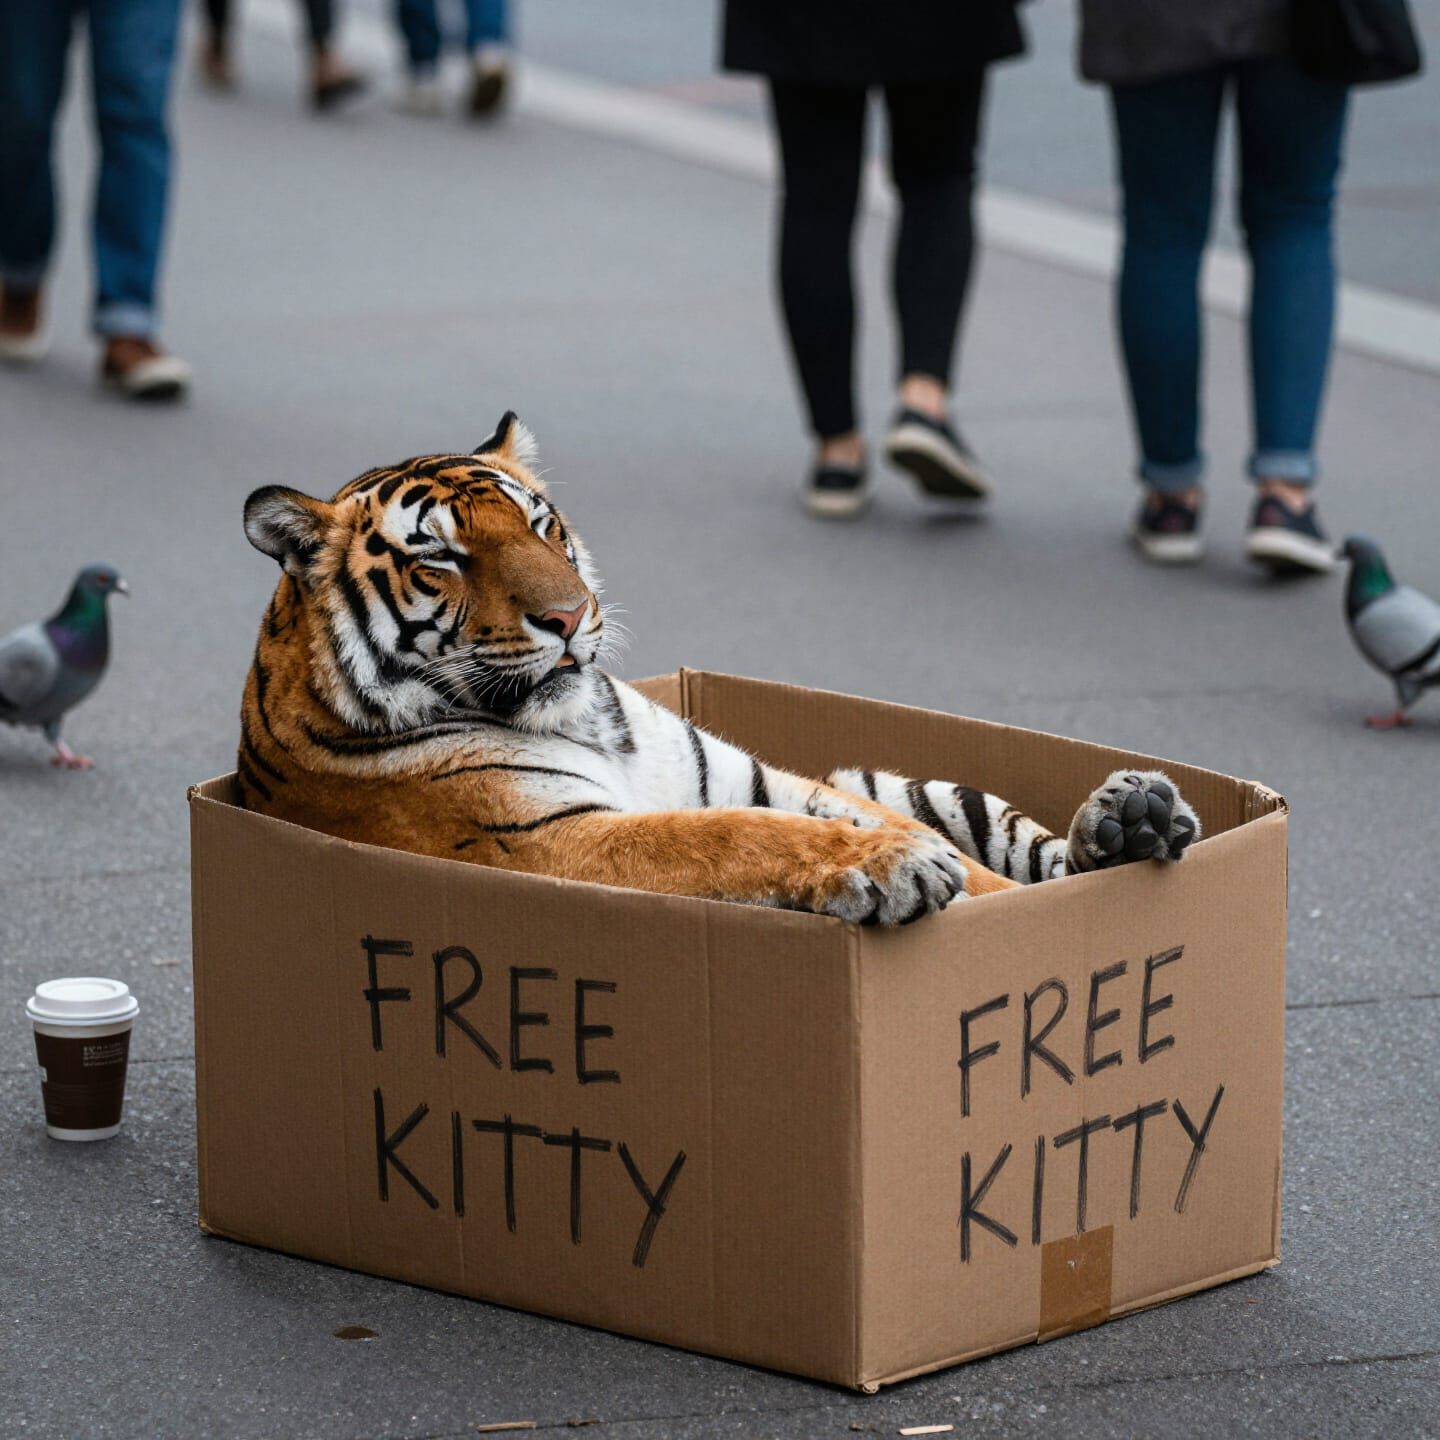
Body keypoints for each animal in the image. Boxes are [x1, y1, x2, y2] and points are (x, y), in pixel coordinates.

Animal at [237, 412, 1199, 925]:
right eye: (440, 559)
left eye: (540, 526)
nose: (570, 616)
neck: (587, 721)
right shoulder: (544, 838)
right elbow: (732, 837)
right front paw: (901, 869)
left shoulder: (758, 777)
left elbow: (958, 860)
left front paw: (973, 891)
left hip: (896, 776)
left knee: (1032, 841)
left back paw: (1133, 817)